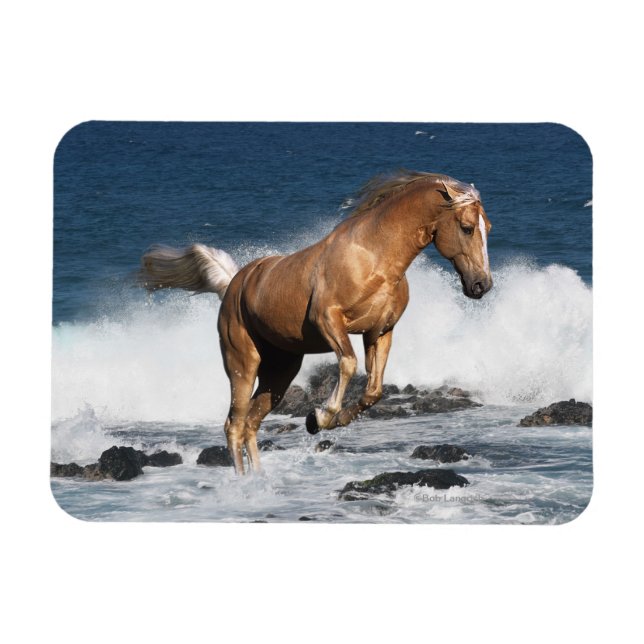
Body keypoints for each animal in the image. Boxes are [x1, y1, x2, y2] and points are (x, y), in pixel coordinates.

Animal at [140, 170, 493, 474]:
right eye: (466, 227)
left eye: (487, 227)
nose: (482, 285)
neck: (374, 257)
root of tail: (232, 285)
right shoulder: (329, 320)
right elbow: (348, 364)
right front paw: (320, 417)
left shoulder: (380, 332)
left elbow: (373, 390)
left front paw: (327, 419)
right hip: (242, 363)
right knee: (234, 424)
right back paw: (243, 487)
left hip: (280, 373)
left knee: (251, 423)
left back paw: (260, 481)